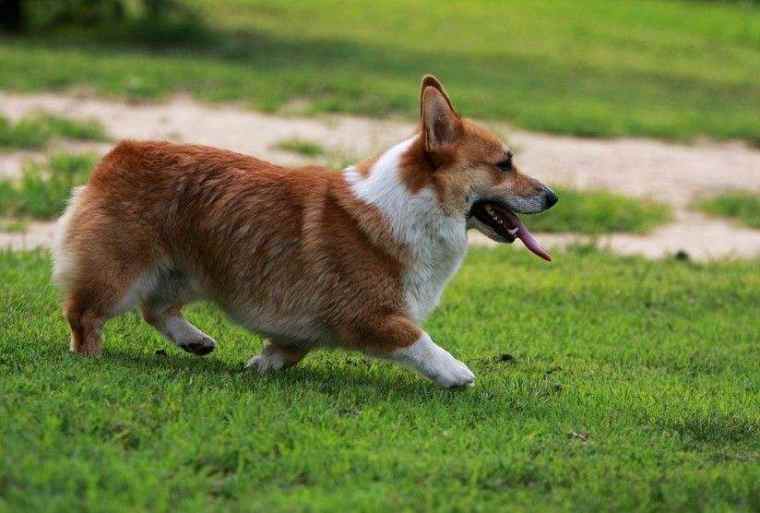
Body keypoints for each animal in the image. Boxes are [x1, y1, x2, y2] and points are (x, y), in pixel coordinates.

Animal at [50, 75, 556, 388]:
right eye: (505, 164)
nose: (553, 196)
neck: (417, 206)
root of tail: (117, 153)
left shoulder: (310, 323)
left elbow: (292, 346)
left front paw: (262, 363)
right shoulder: (370, 316)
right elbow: (418, 339)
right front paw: (455, 372)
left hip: (188, 272)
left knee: (156, 309)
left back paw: (194, 340)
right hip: (120, 274)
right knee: (84, 312)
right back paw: (89, 354)